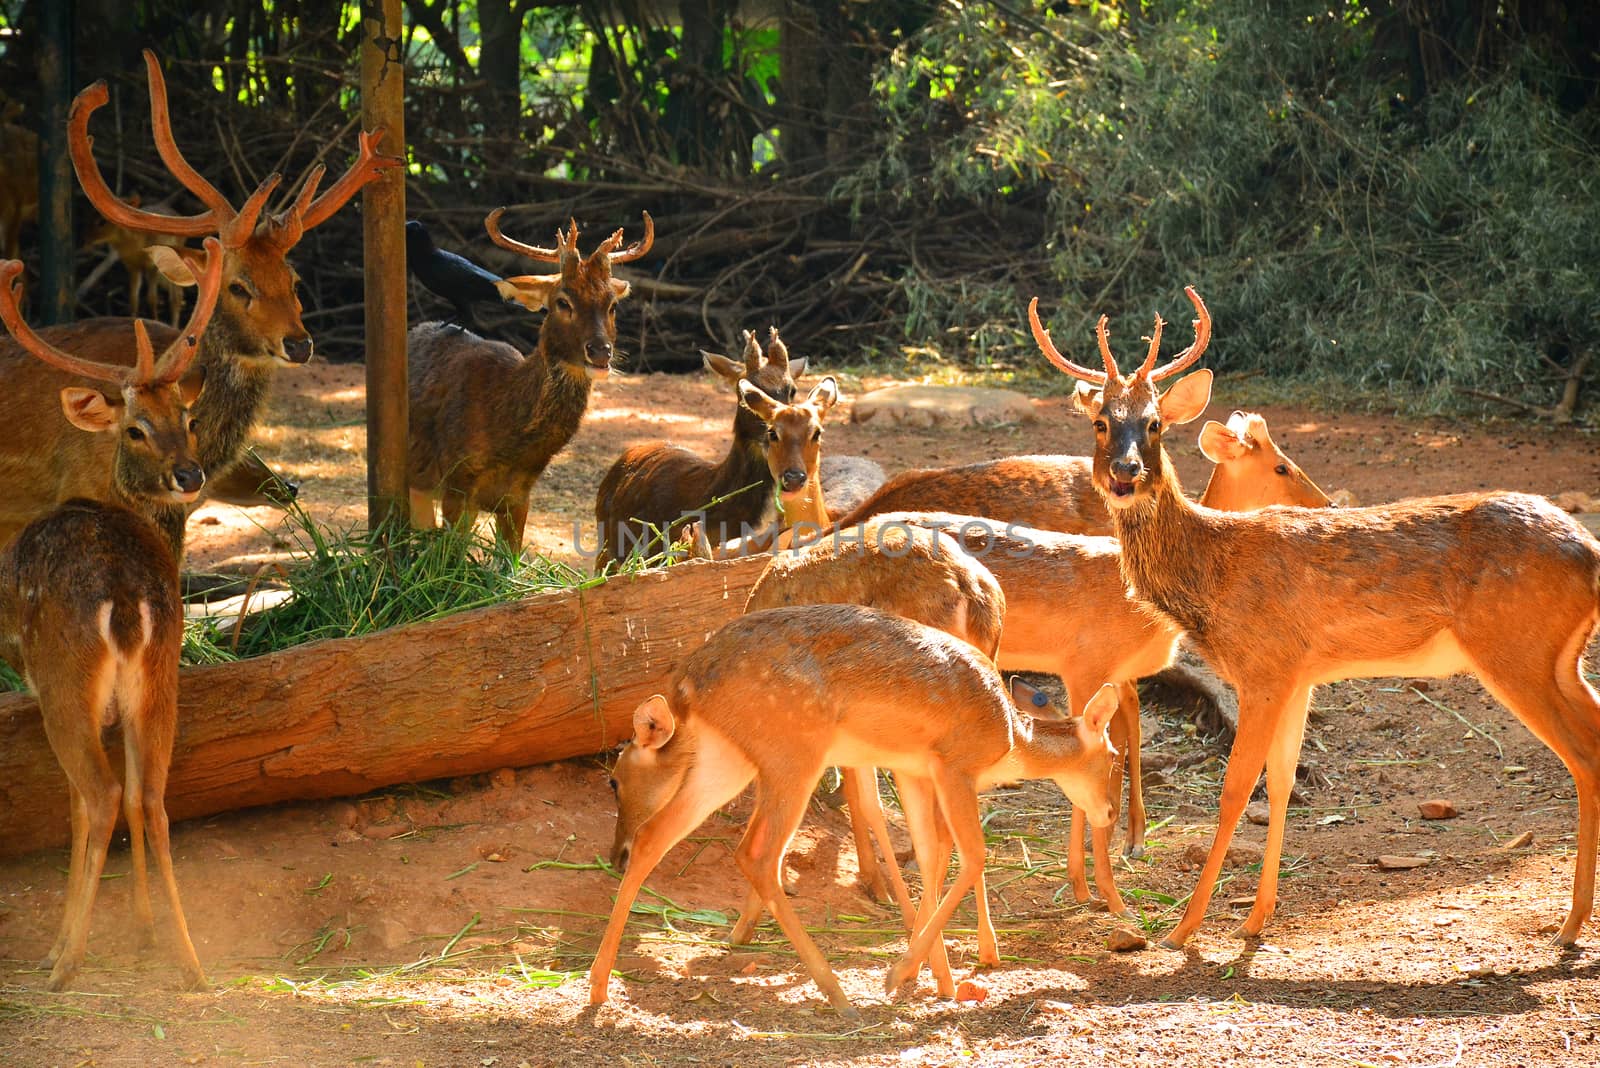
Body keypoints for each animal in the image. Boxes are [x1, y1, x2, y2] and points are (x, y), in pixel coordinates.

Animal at [0, 238, 225, 991]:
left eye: (188, 420)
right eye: (138, 428)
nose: (190, 474)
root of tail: (124, 601)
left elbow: (78, 809)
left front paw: (61, 946)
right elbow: (129, 800)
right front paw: (144, 929)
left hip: (63, 678)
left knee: (97, 797)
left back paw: (64, 963)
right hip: (161, 678)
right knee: (149, 795)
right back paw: (190, 961)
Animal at [595, 604, 1120, 1016]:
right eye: (1115, 757)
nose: (1111, 814)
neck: (1009, 739)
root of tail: (688, 680)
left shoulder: (914, 769)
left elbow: (932, 855)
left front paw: (938, 980)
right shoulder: (955, 765)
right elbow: (972, 854)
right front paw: (901, 975)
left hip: (725, 757)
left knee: (655, 837)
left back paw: (599, 986)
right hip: (793, 753)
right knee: (757, 853)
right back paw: (836, 992)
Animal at [1024, 287, 1600, 946]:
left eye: (1154, 423)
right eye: (1100, 422)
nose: (1124, 473)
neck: (1212, 570)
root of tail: (1590, 551)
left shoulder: (1264, 666)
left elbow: (1234, 790)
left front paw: (1184, 929)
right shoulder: (1299, 674)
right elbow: (1280, 783)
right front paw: (1256, 919)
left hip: (1518, 650)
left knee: (1583, 756)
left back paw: (1569, 926)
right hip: (1560, 659)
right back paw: (1573, 923)